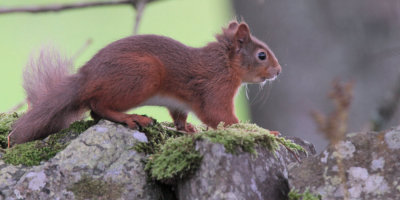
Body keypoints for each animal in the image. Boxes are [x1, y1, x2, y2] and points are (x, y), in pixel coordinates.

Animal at [8, 21, 282, 145]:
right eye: (262, 55)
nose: (279, 71)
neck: (224, 63)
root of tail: (85, 77)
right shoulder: (215, 88)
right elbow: (220, 117)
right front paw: (263, 132)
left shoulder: (180, 102)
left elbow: (180, 116)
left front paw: (187, 127)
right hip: (143, 74)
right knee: (98, 106)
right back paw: (131, 118)